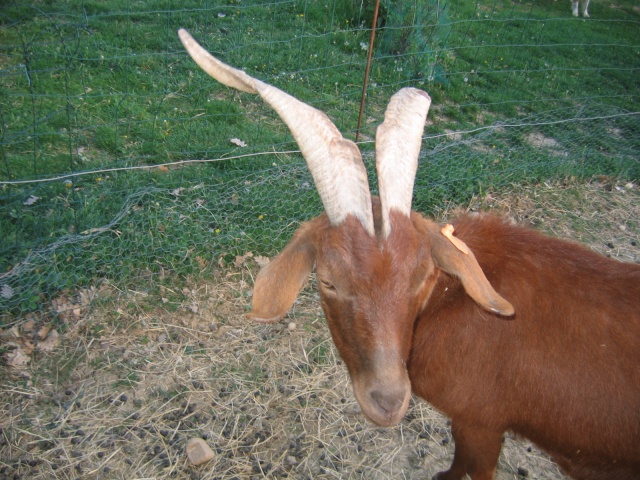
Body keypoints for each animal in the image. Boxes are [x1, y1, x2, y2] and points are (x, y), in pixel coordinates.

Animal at [179, 29, 640, 480]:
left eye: (424, 278)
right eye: (327, 280)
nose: (387, 402)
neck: (452, 303)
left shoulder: (482, 423)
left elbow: (469, 465)